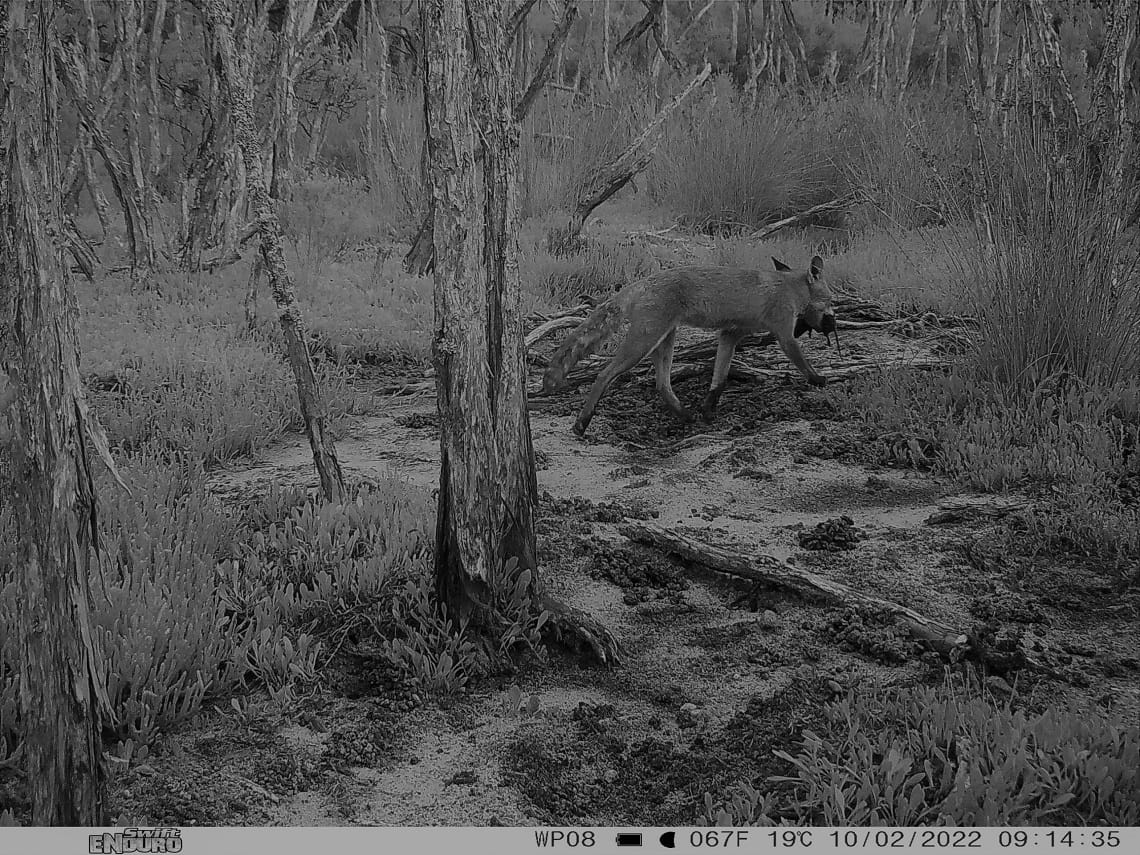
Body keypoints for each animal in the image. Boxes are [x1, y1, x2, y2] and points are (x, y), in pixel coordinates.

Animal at [538, 256, 834, 437]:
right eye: (832, 299)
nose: (832, 322)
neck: (790, 288)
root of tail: (643, 281)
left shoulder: (730, 334)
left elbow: (719, 380)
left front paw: (707, 410)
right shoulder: (784, 333)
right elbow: (803, 363)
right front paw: (819, 380)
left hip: (664, 341)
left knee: (662, 385)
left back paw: (686, 415)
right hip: (642, 344)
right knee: (603, 375)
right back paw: (582, 422)